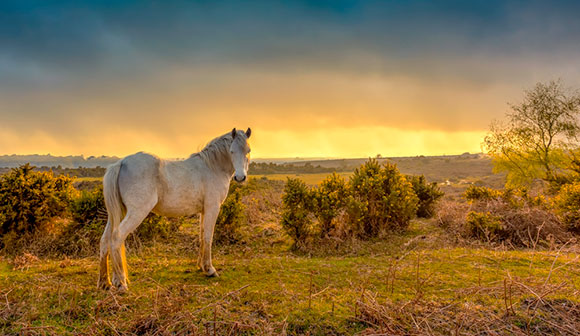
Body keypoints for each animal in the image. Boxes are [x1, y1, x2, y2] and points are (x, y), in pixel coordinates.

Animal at [98, 127, 251, 290]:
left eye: (248, 150)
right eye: (232, 151)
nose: (240, 177)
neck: (212, 167)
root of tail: (121, 163)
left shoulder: (203, 211)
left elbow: (202, 235)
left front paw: (201, 266)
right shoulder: (212, 208)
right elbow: (208, 237)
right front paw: (210, 269)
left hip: (116, 214)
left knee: (105, 240)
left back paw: (105, 282)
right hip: (136, 212)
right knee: (117, 237)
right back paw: (121, 283)